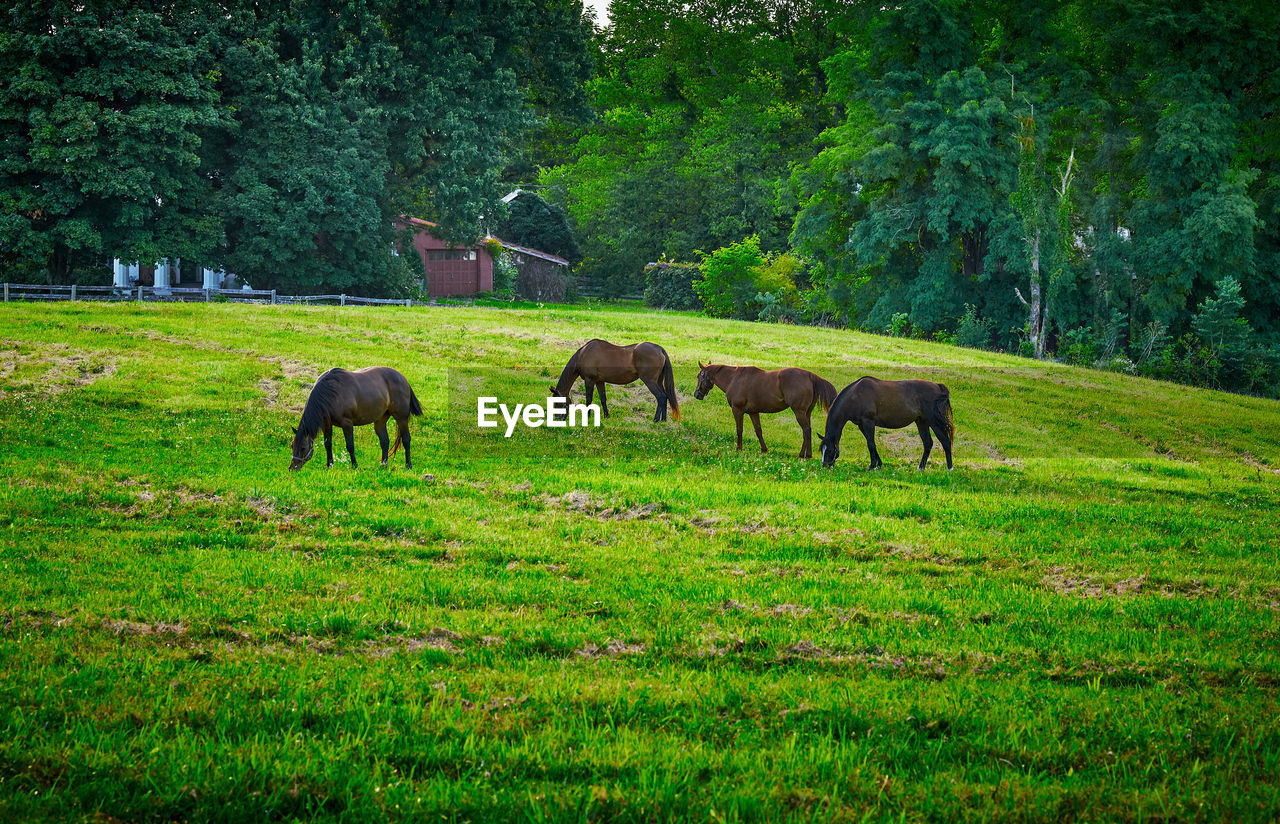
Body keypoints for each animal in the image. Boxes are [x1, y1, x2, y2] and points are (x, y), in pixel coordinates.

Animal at [288, 365, 422, 470]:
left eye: (303, 447)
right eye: (292, 445)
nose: (292, 468)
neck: (330, 393)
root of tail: (403, 378)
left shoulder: (347, 423)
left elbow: (350, 446)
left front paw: (355, 466)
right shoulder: (327, 424)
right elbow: (328, 444)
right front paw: (329, 465)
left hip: (401, 418)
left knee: (406, 440)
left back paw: (408, 466)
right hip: (380, 420)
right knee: (384, 441)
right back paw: (383, 465)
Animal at [555, 337, 686, 422]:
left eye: (556, 403)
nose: (557, 418)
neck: (583, 354)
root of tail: (659, 349)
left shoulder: (589, 380)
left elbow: (588, 399)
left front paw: (587, 417)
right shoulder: (599, 381)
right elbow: (603, 398)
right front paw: (606, 415)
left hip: (650, 381)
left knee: (661, 397)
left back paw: (656, 419)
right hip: (658, 381)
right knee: (666, 396)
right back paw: (663, 420)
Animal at [696, 365, 834, 460]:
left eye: (699, 376)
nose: (696, 394)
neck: (734, 379)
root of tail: (810, 376)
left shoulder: (737, 410)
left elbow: (739, 430)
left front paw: (739, 448)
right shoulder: (753, 412)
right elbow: (758, 431)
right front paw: (764, 449)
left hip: (799, 412)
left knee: (806, 430)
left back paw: (804, 455)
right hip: (806, 413)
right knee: (807, 430)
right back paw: (805, 454)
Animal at [819, 378, 952, 470]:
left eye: (829, 450)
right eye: (822, 450)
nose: (825, 466)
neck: (855, 395)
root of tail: (937, 386)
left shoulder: (868, 422)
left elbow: (870, 444)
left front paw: (872, 466)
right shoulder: (861, 425)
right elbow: (871, 443)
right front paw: (879, 464)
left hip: (934, 422)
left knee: (945, 441)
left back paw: (950, 469)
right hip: (922, 422)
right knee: (928, 443)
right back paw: (921, 468)